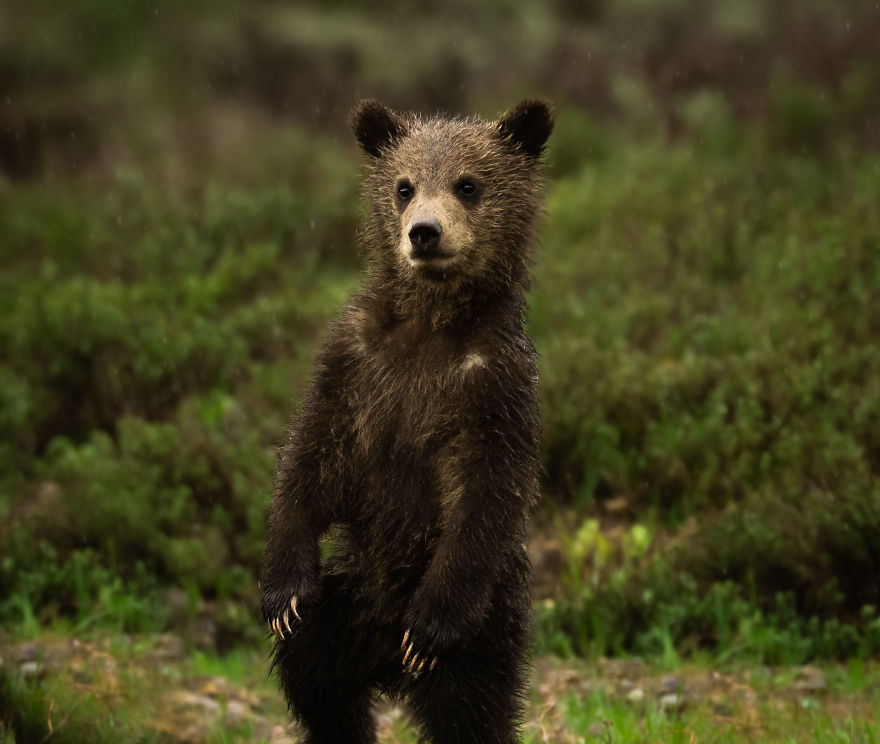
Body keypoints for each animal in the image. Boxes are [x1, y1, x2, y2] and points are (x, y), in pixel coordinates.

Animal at [261, 98, 553, 744]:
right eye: (403, 186)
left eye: (468, 184)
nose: (424, 232)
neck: (430, 325)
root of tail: (385, 665)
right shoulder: (355, 363)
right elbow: (311, 457)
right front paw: (282, 593)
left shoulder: (494, 387)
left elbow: (486, 488)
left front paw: (429, 626)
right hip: (344, 602)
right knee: (315, 682)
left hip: (485, 631)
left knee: (472, 714)